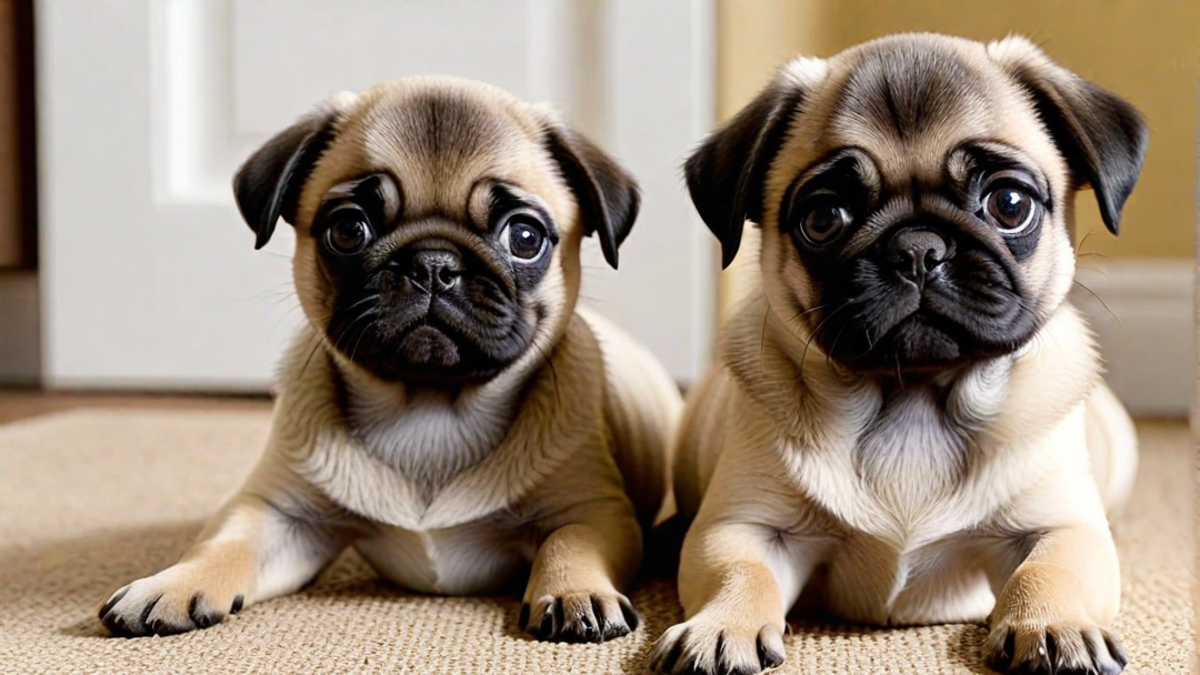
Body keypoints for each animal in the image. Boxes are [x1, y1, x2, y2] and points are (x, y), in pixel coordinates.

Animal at [100, 76, 686, 643]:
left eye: (524, 237)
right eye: (347, 229)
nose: (433, 264)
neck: (429, 409)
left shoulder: (596, 511)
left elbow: (571, 542)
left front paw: (576, 592)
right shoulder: (279, 515)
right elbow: (223, 543)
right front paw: (171, 584)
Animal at [652, 32, 1147, 672]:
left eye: (1010, 205)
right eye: (823, 218)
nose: (917, 249)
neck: (913, 396)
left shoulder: (1062, 527)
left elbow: (1048, 571)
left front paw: (1053, 624)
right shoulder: (746, 525)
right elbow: (740, 573)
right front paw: (722, 626)